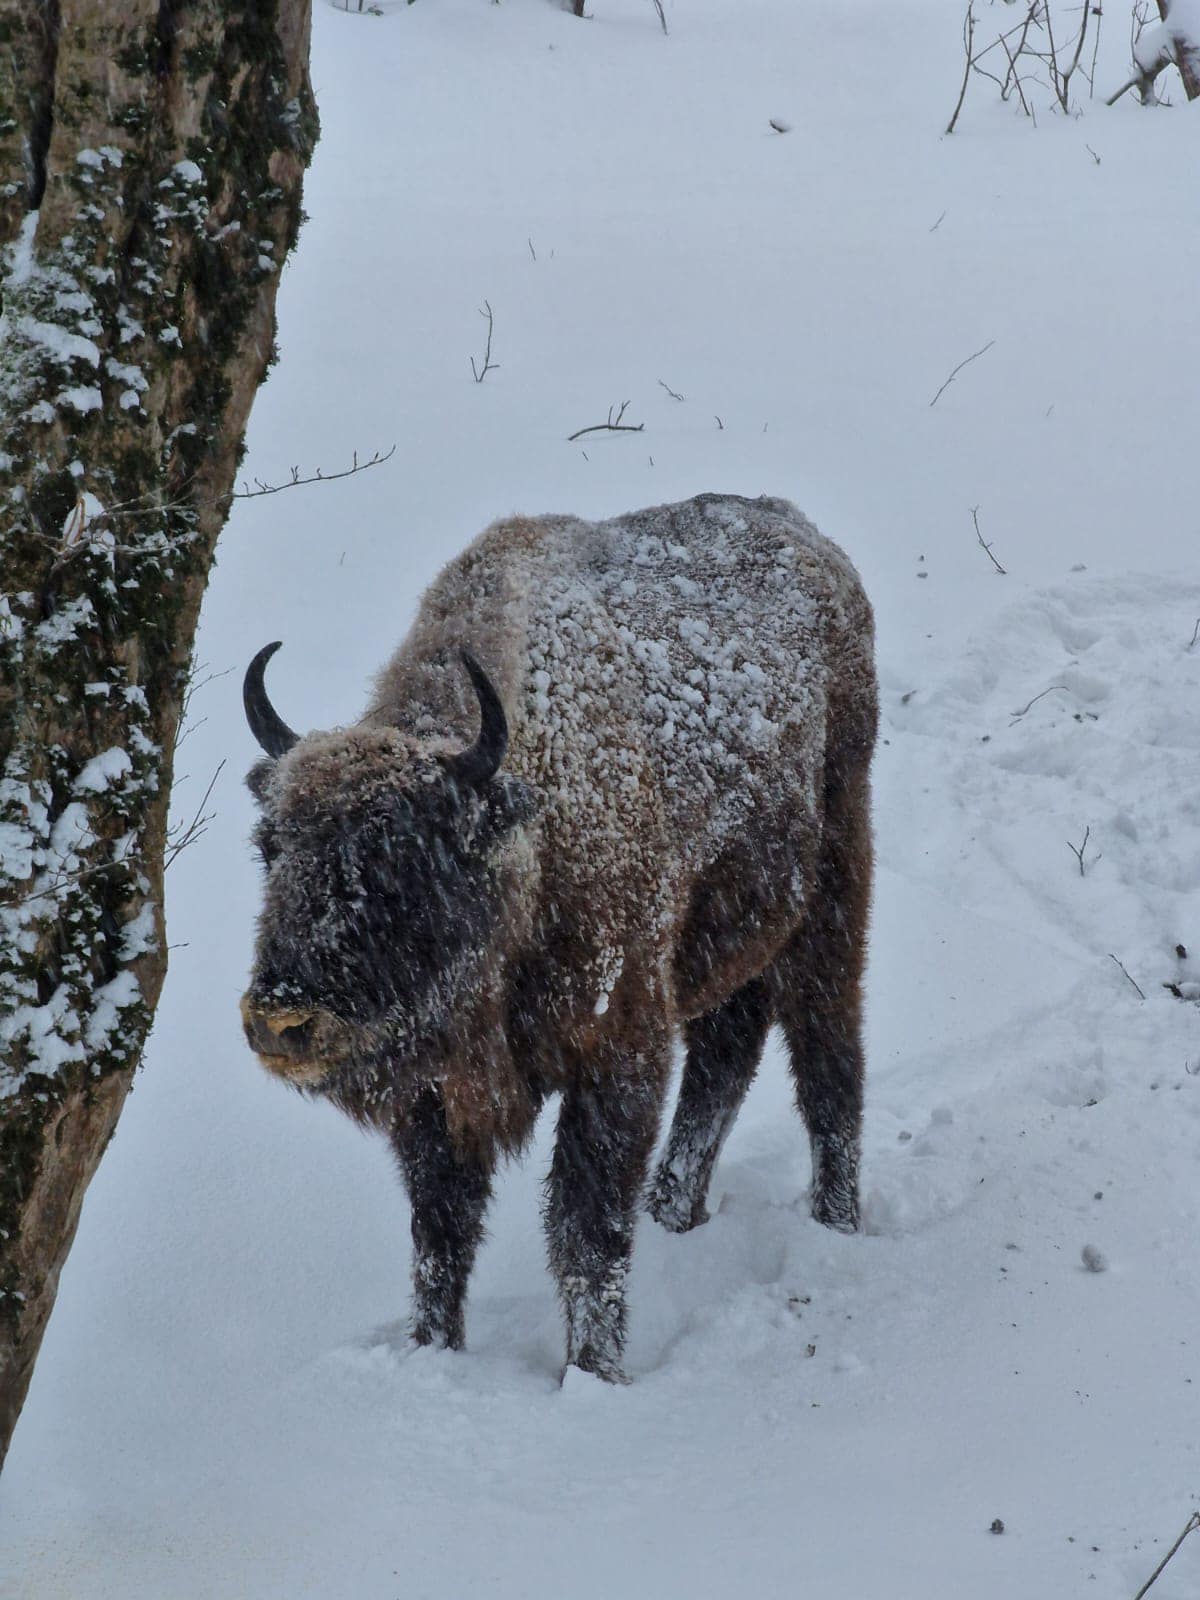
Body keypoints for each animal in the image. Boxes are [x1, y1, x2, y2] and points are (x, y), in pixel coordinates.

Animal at [240, 493, 877, 1383]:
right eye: (271, 846)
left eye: (404, 858)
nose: (281, 1020)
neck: (526, 828)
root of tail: (813, 542)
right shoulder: (437, 1095)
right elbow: (441, 1233)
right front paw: (433, 1351)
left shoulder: (616, 1051)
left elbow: (585, 1229)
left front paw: (594, 1373)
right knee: (728, 1053)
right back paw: (675, 1213)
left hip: (833, 898)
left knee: (827, 1061)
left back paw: (835, 1224)